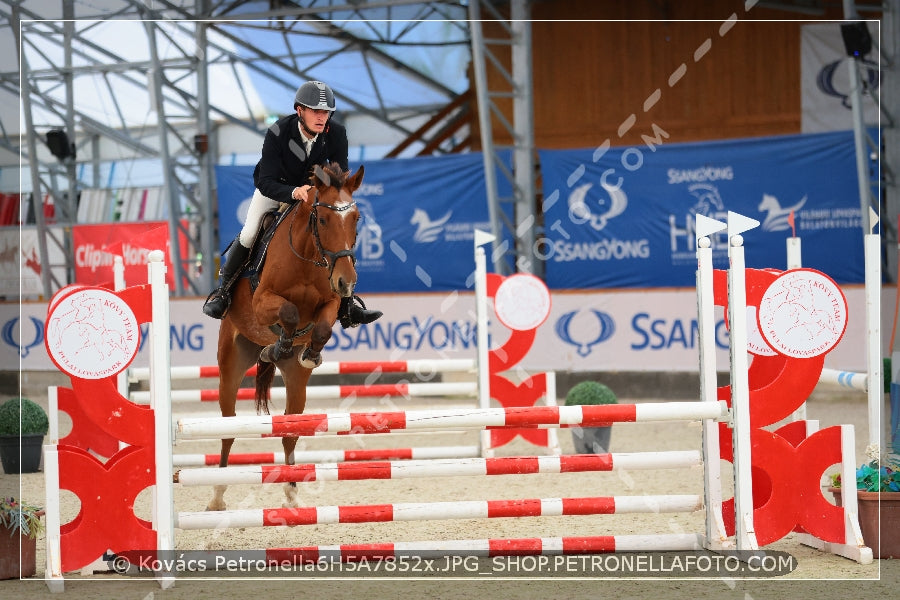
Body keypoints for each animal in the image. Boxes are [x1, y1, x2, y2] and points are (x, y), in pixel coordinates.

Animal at [209, 162, 364, 508]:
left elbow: (321, 327)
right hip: (230, 364)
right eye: (323, 219)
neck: (307, 256)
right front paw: (277, 346)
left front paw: (308, 353)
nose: (347, 282)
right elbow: (290, 312)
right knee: (228, 427)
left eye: (357, 218)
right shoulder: (262, 302)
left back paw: (292, 497)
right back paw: (217, 495)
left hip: (296, 383)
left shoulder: (330, 303)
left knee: (290, 429)